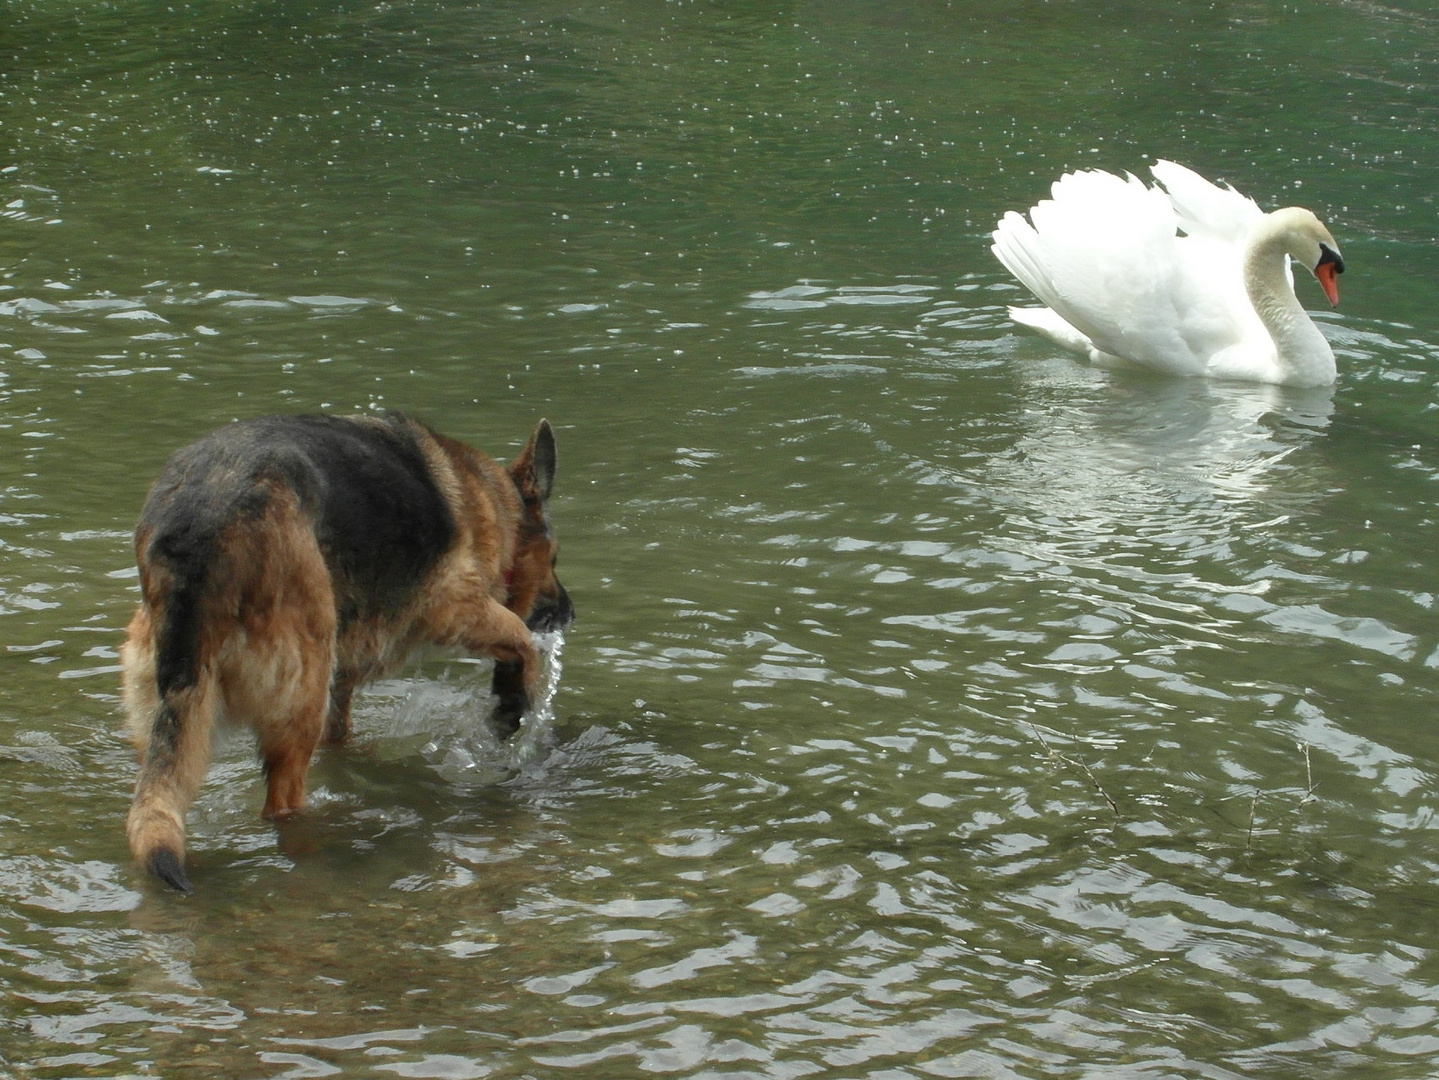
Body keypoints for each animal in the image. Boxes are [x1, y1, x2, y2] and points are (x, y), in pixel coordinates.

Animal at [119, 408, 572, 891]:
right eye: (554, 558)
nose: (570, 613)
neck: (494, 504)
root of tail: (201, 531)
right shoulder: (457, 607)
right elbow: (523, 641)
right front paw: (511, 703)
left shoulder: (342, 686)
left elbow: (341, 733)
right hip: (302, 692)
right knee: (282, 804)